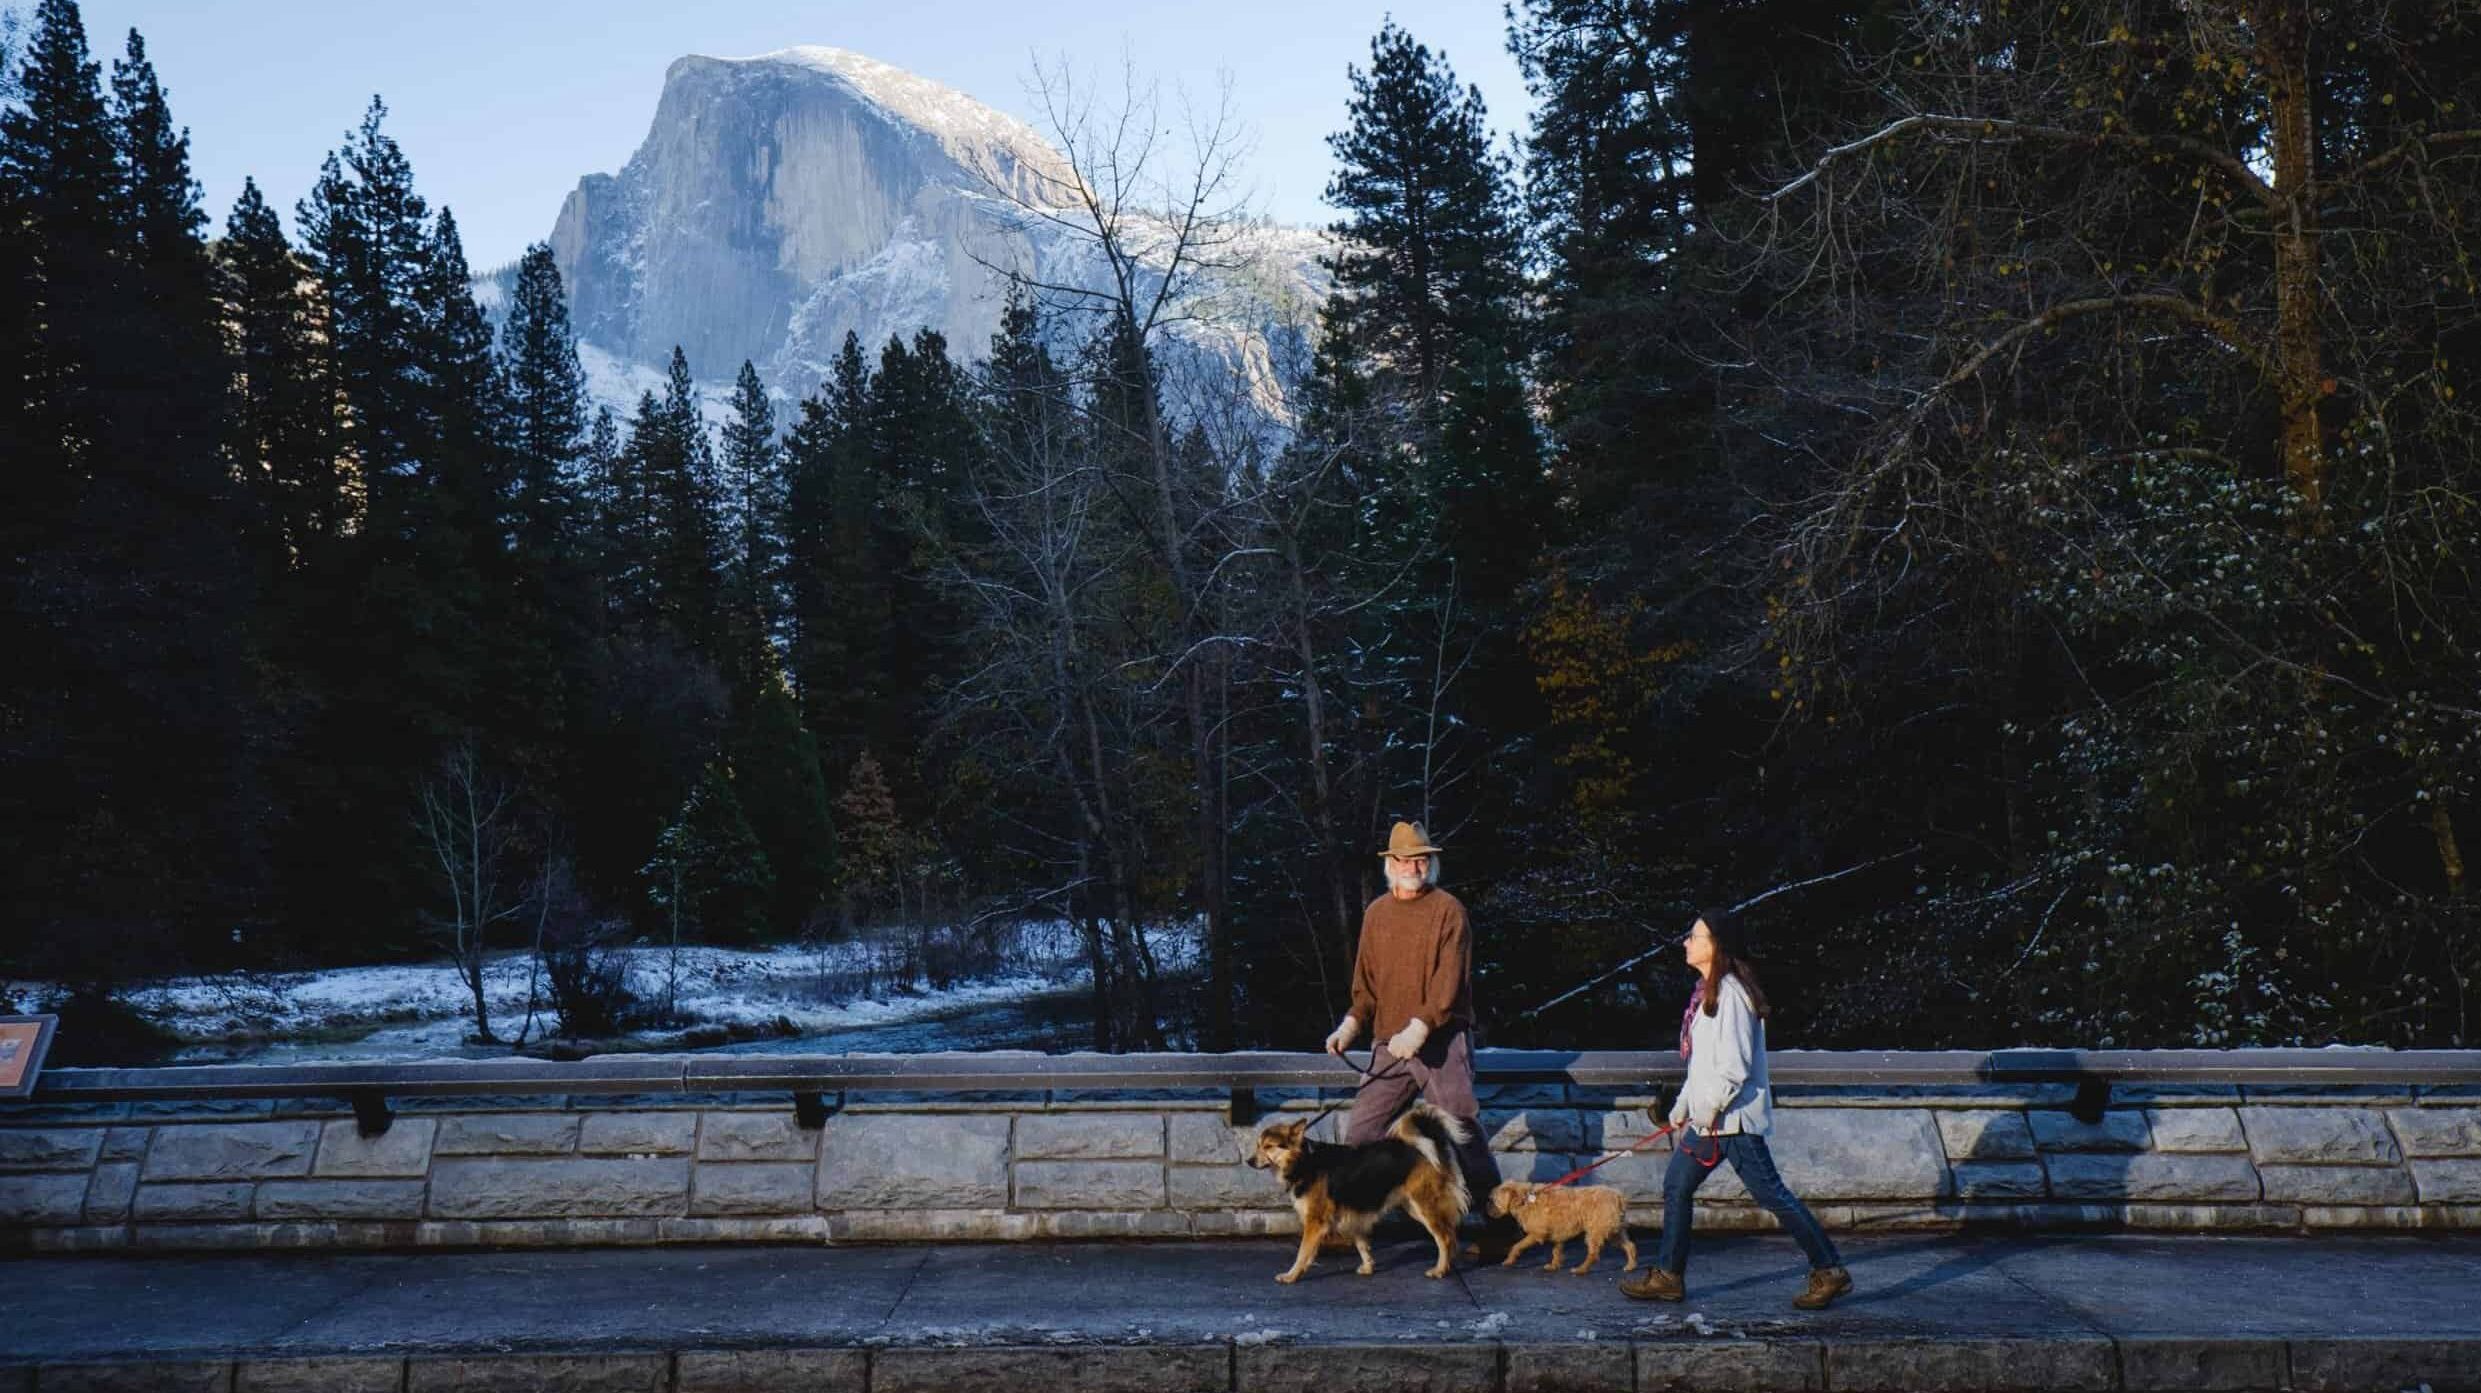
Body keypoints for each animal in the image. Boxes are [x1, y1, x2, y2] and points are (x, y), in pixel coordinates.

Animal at [1250, 1097, 1458, 1281]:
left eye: (1268, 1147)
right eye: (1258, 1145)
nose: (1249, 1161)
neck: (1304, 1161)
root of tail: (1422, 1145)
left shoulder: (1315, 1221)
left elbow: (1303, 1253)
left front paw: (1291, 1276)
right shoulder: (1351, 1213)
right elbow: (1362, 1244)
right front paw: (1368, 1266)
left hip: (1425, 1205)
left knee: (1446, 1238)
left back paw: (1440, 1269)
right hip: (1412, 1206)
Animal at [1478, 1172, 1637, 1271]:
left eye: (1492, 1200)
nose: (1486, 1208)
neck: (1525, 1199)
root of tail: (1618, 1197)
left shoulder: (1536, 1234)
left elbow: (1517, 1246)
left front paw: (1509, 1260)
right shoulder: (1556, 1235)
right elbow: (1556, 1250)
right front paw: (1554, 1266)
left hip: (1596, 1231)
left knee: (1593, 1253)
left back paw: (1581, 1269)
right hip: (1613, 1230)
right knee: (1629, 1245)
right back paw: (1630, 1265)